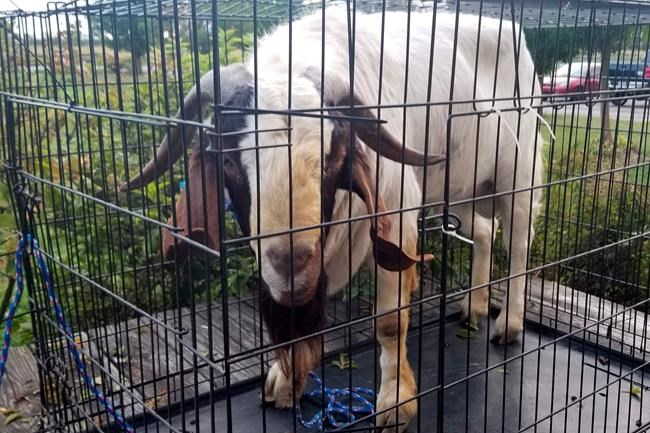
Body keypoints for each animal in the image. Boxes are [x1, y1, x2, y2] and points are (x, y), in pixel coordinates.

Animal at [123, 8, 543, 432]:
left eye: (333, 156)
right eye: (227, 161)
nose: (289, 265)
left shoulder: (396, 216)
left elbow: (390, 320)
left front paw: (395, 403)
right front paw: (285, 381)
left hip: (518, 171)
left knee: (519, 242)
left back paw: (509, 324)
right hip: (459, 188)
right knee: (485, 231)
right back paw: (474, 307)